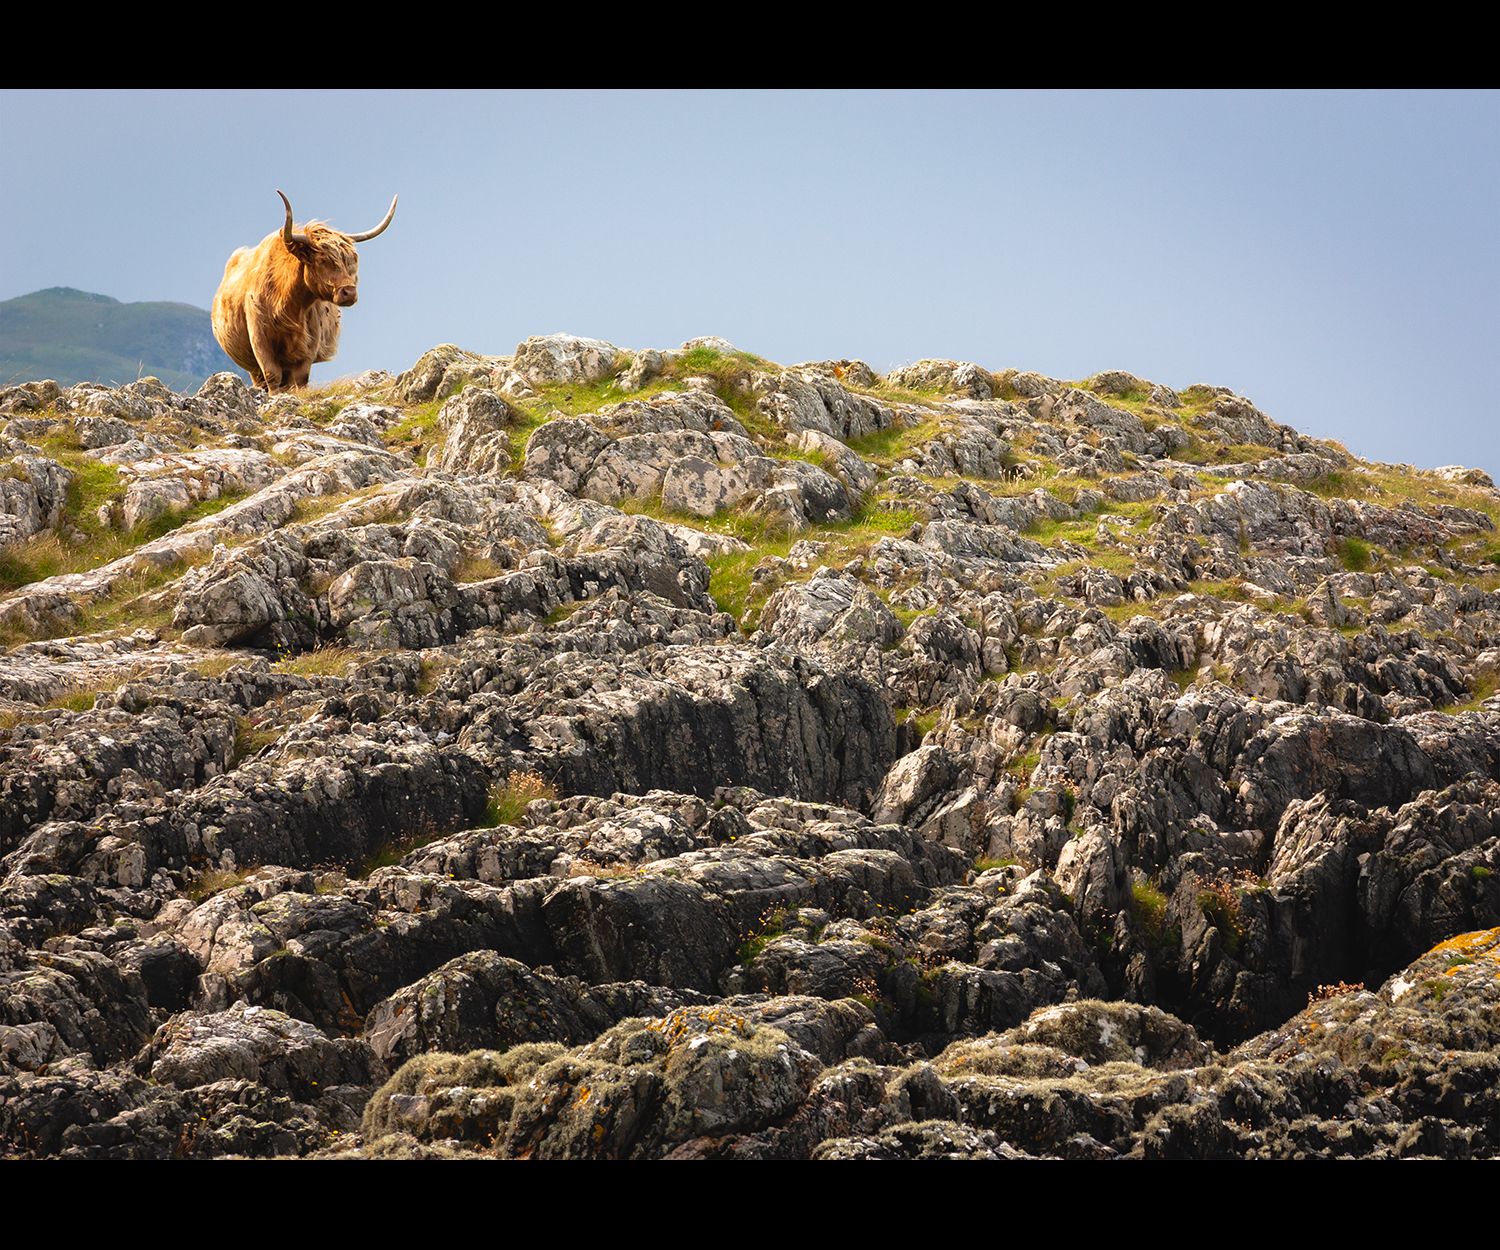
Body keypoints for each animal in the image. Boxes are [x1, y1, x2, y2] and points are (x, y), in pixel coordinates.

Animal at [214, 190, 399, 390]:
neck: (286, 303)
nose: (349, 292)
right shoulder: (260, 339)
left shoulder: (310, 344)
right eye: (322, 260)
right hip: (251, 365)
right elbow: (272, 375)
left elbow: (301, 379)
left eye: (352, 261)